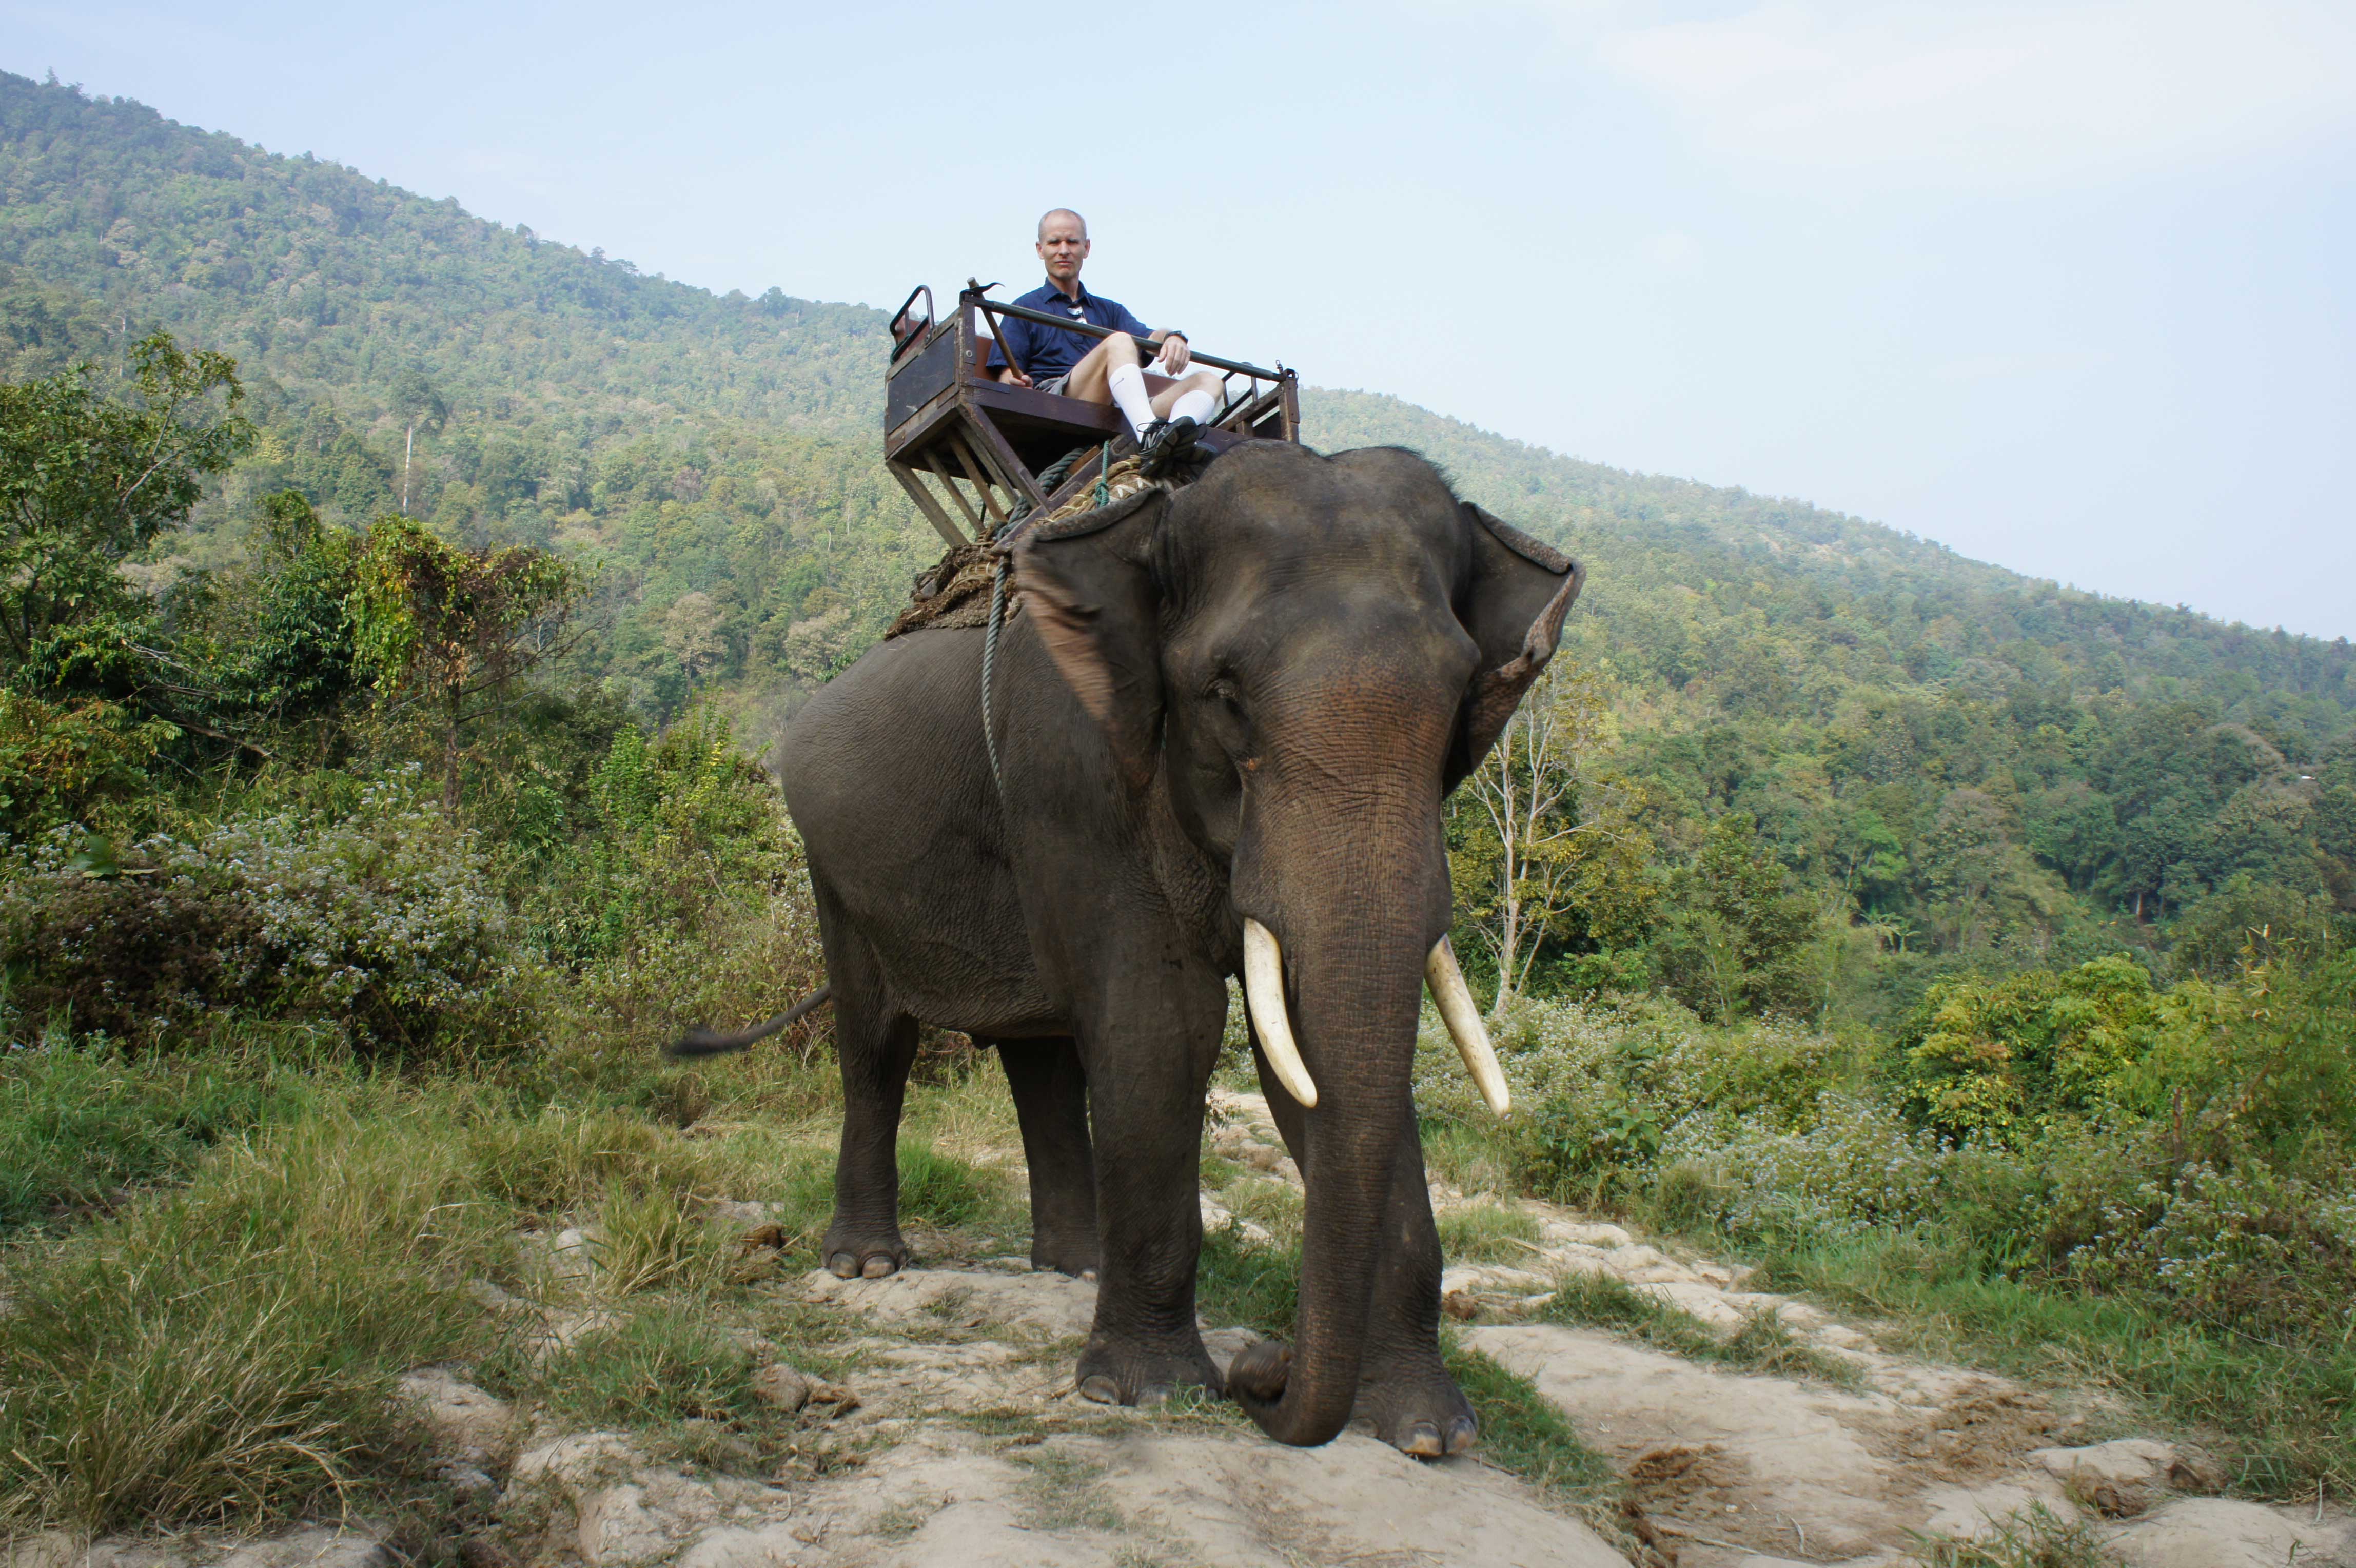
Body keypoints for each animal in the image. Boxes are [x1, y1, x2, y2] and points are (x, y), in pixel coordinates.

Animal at [773, 440, 1583, 1450]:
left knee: (1040, 1057)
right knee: (878, 1042)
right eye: (1224, 696)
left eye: (1456, 701)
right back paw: (869, 1265)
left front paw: (1433, 1431)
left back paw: (1074, 1266)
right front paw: (1152, 1393)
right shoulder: (1075, 774)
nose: (1262, 1371)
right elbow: (1167, 1028)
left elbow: (1309, 1056)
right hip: (835, 872)